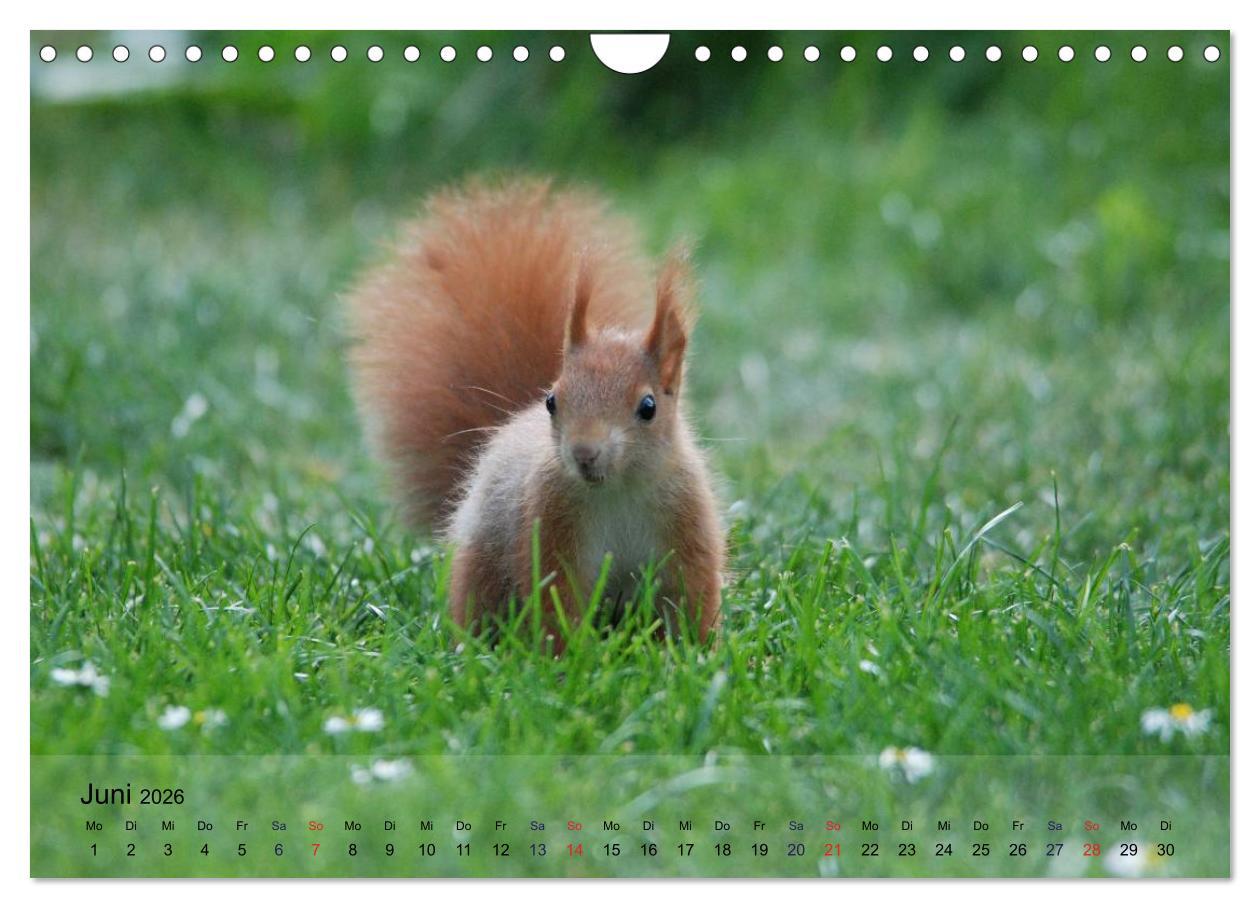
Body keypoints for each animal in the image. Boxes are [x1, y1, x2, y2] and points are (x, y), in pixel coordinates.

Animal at [346, 178, 725, 649]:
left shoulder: (687, 521)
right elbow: (554, 596)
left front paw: (696, 651)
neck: (617, 488)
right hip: (481, 568)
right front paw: (569, 656)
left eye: (648, 407)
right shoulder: (549, 521)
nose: (584, 453)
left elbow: (692, 592)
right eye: (552, 401)